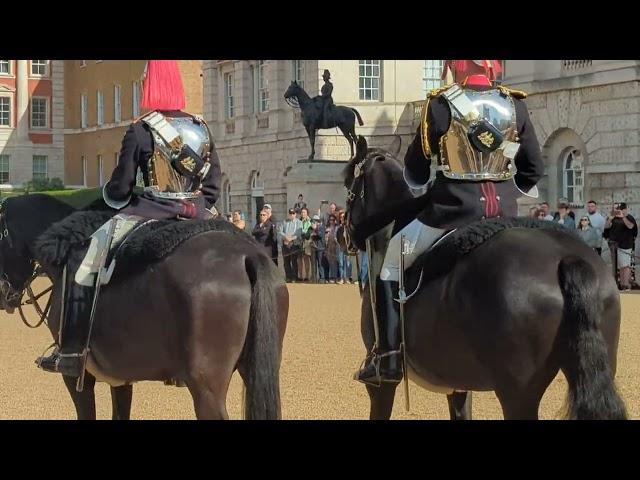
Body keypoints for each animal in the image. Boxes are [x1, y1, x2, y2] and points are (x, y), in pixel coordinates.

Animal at [342, 138, 628, 420]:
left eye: (347, 182)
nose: (344, 236)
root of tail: (566, 257)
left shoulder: (381, 385)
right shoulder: (457, 381)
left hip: (517, 393)